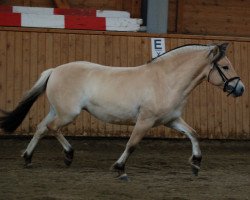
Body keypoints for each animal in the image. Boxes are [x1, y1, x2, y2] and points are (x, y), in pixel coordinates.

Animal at [0, 42, 244, 180]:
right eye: (225, 67)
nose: (240, 88)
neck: (166, 81)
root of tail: (54, 70)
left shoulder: (171, 120)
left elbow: (193, 134)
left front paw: (196, 164)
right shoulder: (145, 120)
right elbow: (132, 144)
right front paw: (120, 168)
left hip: (57, 110)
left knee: (41, 128)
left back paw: (28, 158)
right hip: (68, 114)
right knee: (52, 128)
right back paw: (68, 155)